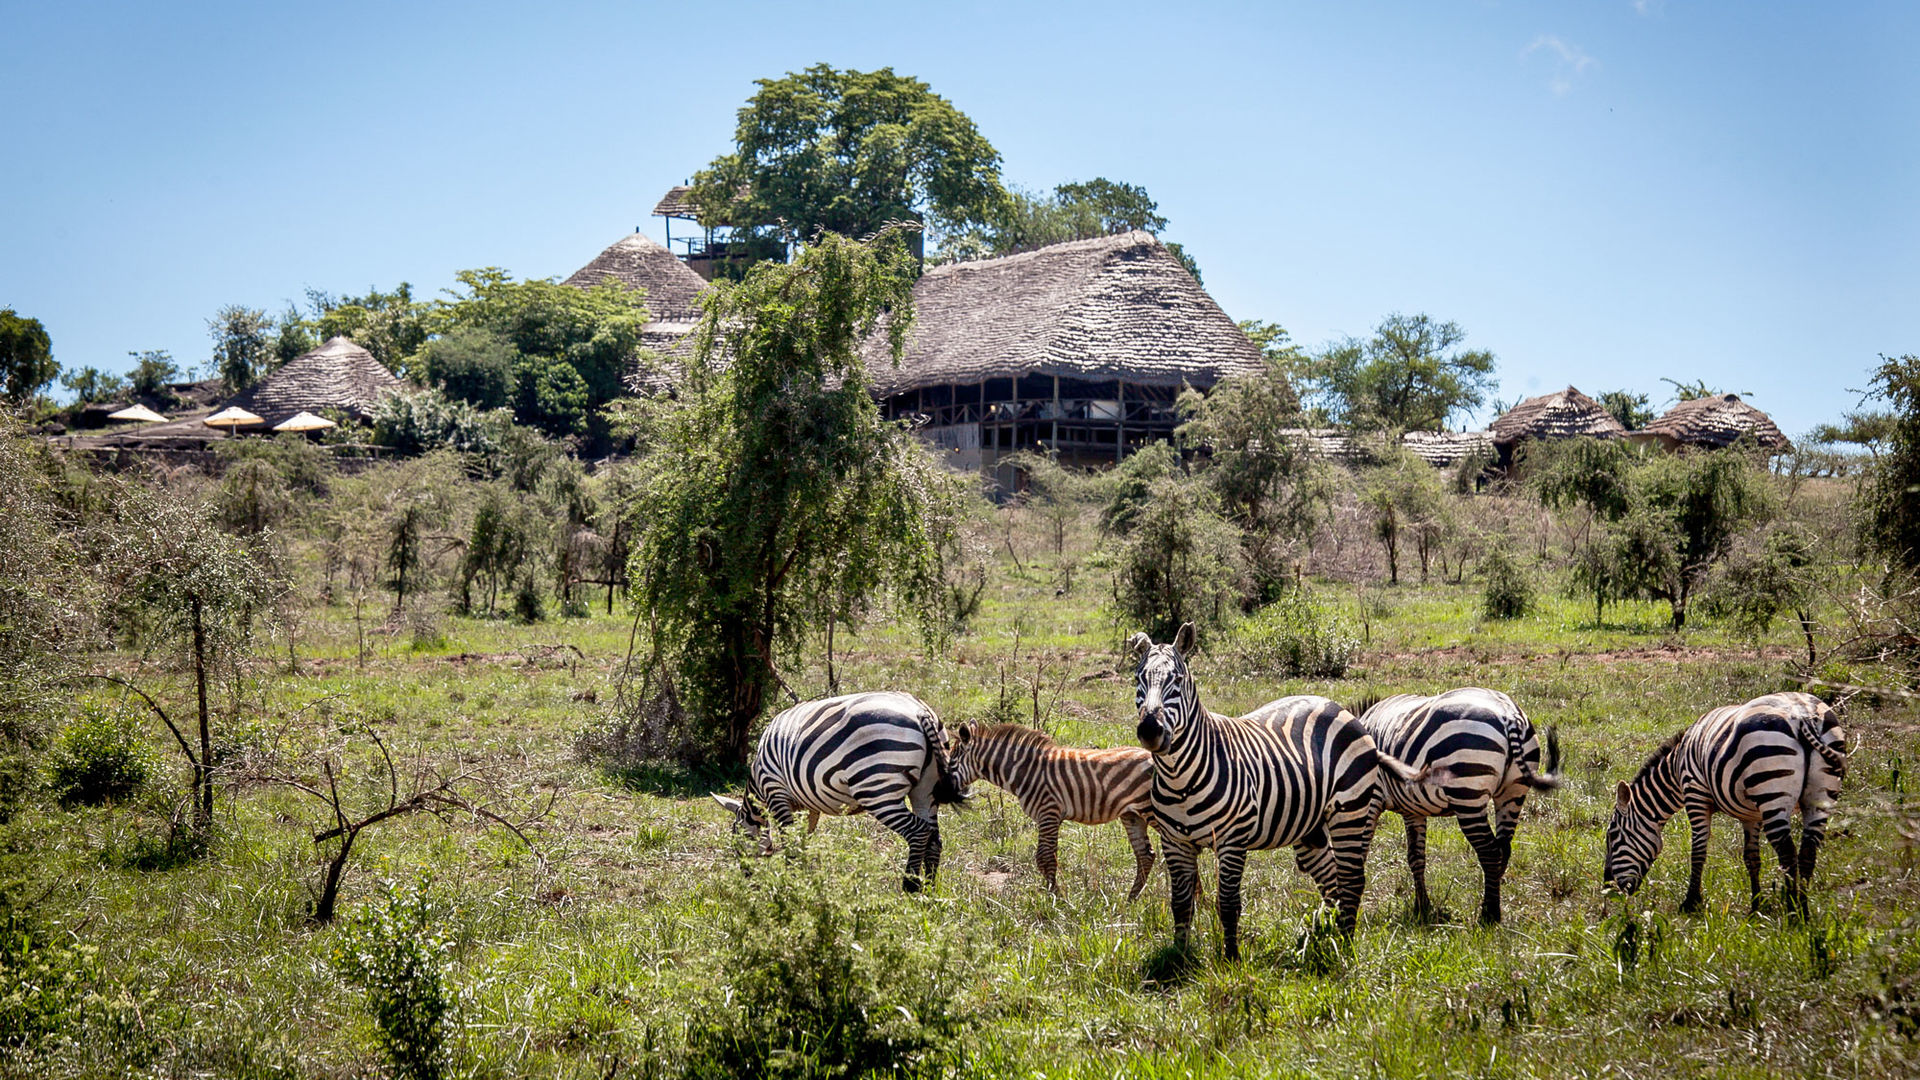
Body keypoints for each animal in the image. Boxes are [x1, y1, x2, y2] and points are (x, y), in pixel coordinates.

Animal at [714, 687, 967, 891]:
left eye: (735, 842)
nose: (748, 879)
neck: (758, 782)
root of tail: (918, 710)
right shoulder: (806, 804)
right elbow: (803, 839)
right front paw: (803, 880)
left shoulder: (776, 791)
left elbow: (791, 842)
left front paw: (791, 885)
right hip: (925, 788)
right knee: (934, 838)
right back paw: (928, 892)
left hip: (877, 788)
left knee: (919, 832)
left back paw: (910, 888)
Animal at [948, 722, 1152, 899]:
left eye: (951, 763)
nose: (944, 791)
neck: (1026, 771)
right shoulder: (1050, 816)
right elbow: (1048, 856)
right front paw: (1053, 896)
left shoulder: (1048, 811)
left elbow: (1044, 858)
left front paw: (1056, 900)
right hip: (1132, 815)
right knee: (1146, 855)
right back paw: (1130, 901)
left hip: (1149, 810)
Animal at [1121, 618, 1428, 953]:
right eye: (1138, 679)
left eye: (1176, 680)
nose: (1150, 730)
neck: (1180, 779)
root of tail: (1338, 707)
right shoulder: (1175, 842)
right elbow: (1180, 904)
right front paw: (1180, 956)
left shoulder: (1232, 841)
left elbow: (1228, 905)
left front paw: (1231, 959)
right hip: (1311, 827)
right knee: (1332, 880)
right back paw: (1329, 937)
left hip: (1350, 811)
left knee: (1351, 880)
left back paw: (1345, 945)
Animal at [1351, 684, 1559, 922]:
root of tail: (1508, 714)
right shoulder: (1413, 808)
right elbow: (1416, 857)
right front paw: (1422, 908)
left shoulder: (1371, 798)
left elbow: (1360, 853)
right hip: (1512, 794)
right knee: (1504, 849)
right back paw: (1493, 905)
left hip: (1468, 793)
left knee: (1490, 851)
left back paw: (1488, 915)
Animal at [1605, 687, 1843, 907]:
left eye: (1612, 836)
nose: (1609, 887)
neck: (1676, 766)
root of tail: (1802, 715)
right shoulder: (1751, 814)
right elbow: (1752, 858)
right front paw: (1756, 906)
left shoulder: (1695, 793)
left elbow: (1698, 849)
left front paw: (1691, 903)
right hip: (1818, 797)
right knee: (1808, 852)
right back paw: (1802, 909)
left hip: (1772, 791)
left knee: (1787, 852)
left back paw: (1792, 909)